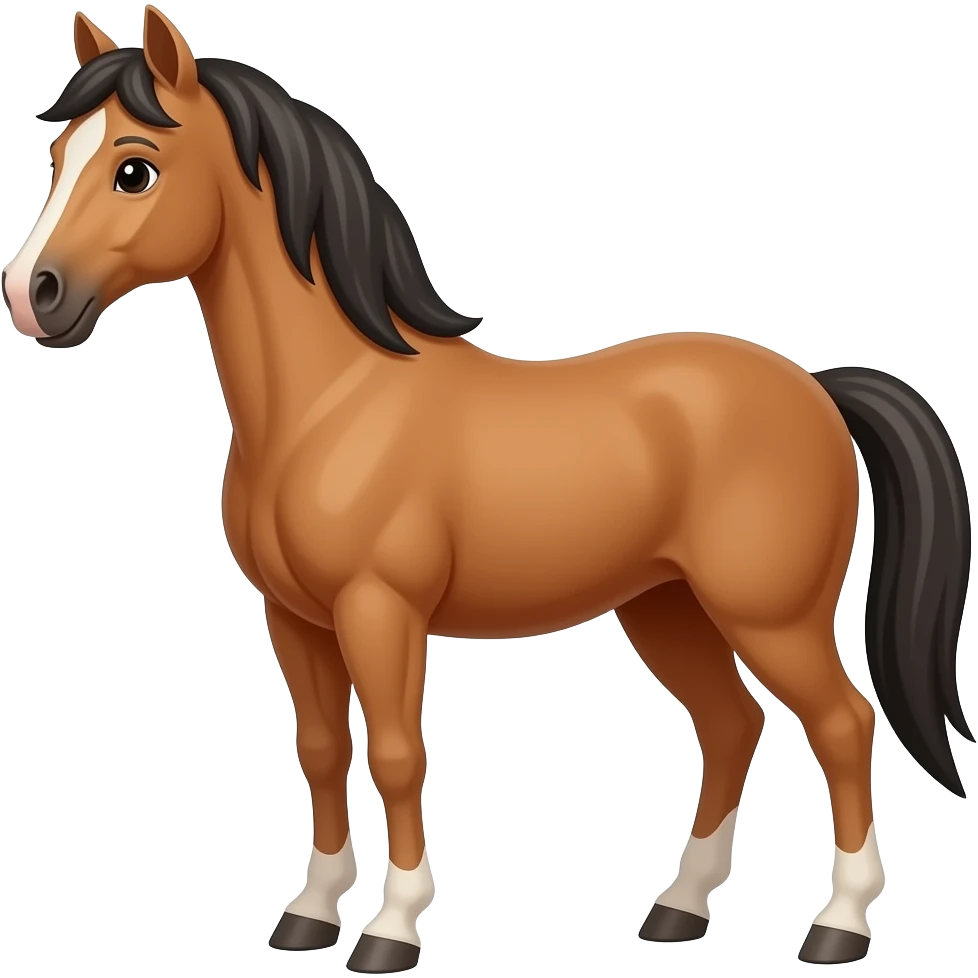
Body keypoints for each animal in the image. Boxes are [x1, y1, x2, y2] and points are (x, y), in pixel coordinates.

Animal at [4, 6, 972, 971]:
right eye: (57, 160)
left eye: (134, 167)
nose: (30, 294)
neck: (334, 402)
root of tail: (816, 386)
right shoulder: (294, 616)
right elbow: (320, 750)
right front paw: (310, 916)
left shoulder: (379, 610)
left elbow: (397, 754)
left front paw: (390, 931)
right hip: (667, 608)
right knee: (732, 725)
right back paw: (677, 910)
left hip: (770, 616)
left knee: (842, 726)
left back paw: (838, 926)